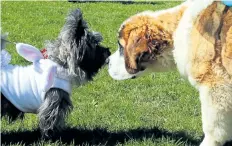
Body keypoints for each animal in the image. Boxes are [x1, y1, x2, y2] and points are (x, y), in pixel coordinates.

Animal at [1, 8, 110, 137]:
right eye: (96, 45)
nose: (108, 51)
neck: (60, 64)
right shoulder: (54, 103)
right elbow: (51, 120)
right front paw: (52, 136)